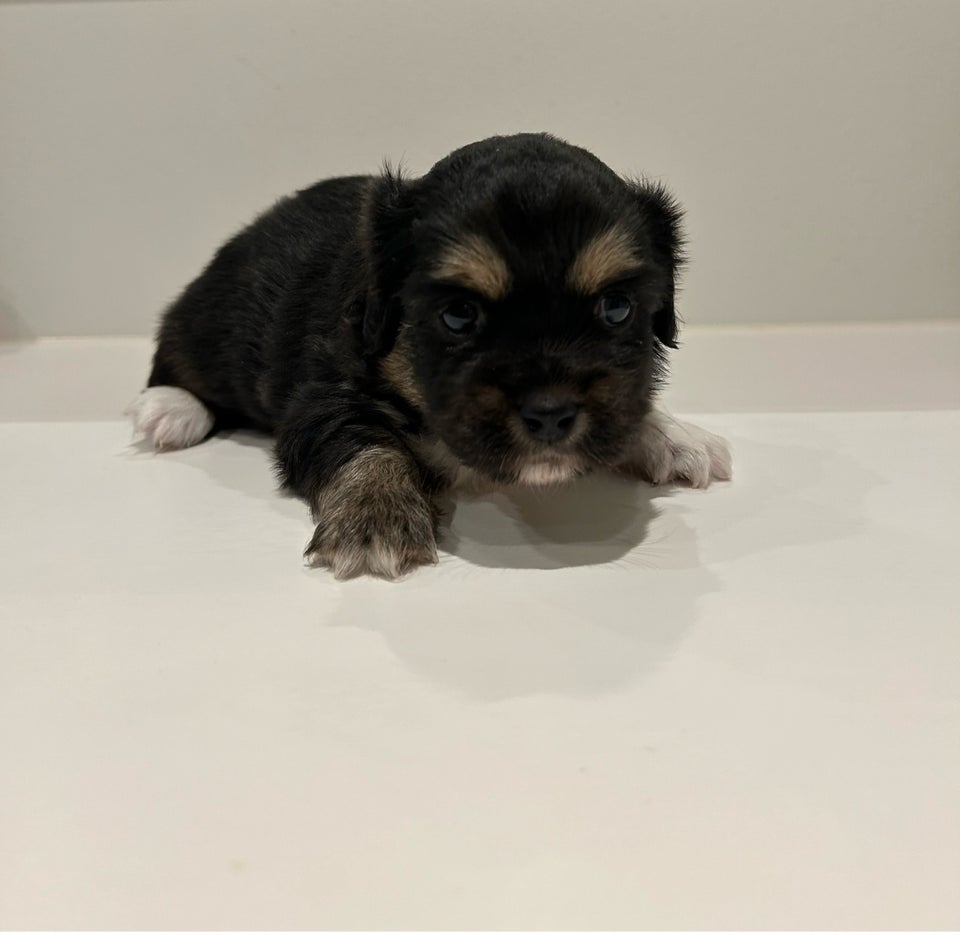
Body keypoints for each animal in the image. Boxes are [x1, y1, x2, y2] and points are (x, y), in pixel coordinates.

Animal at [127, 135, 728, 580]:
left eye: (617, 308)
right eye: (459, 316)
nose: (551, 413)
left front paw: (673, 436)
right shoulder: (325, 393)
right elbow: (365, 441)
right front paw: (375, 518)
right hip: (208, 324)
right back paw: (169, 410)